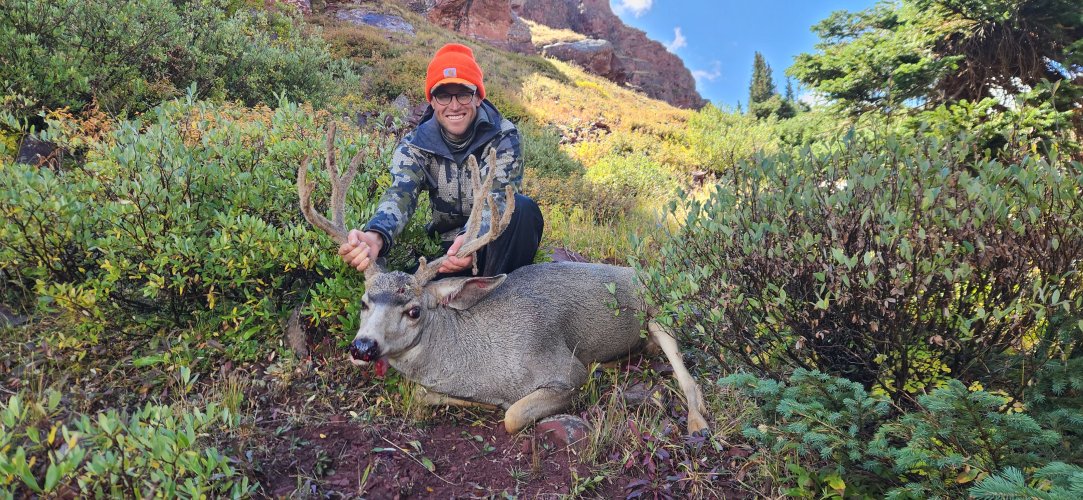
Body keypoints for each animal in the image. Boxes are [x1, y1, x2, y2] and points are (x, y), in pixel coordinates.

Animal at [297, 124, 709, 434]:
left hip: (662, 314)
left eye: (414, 310)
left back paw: (697, 423)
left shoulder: (563, 370)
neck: (478, 358)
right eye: (364, 302)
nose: (363, 347)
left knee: (686, 374)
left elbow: (511, 415)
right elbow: (422, 394)